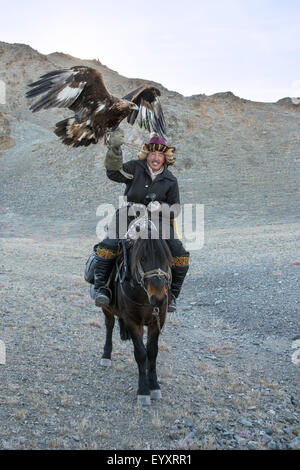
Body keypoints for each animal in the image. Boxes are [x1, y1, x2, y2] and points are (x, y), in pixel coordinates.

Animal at [99, 233, 172, 406]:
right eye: (143, 258)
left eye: (166, 257)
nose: (159, 298)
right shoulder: (133, 321)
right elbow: (140, 353)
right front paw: (143, 391)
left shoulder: (157, 320)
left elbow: (152, 352)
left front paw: (154, 386)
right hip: (107, 309)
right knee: (109, 326)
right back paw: (106, 356)